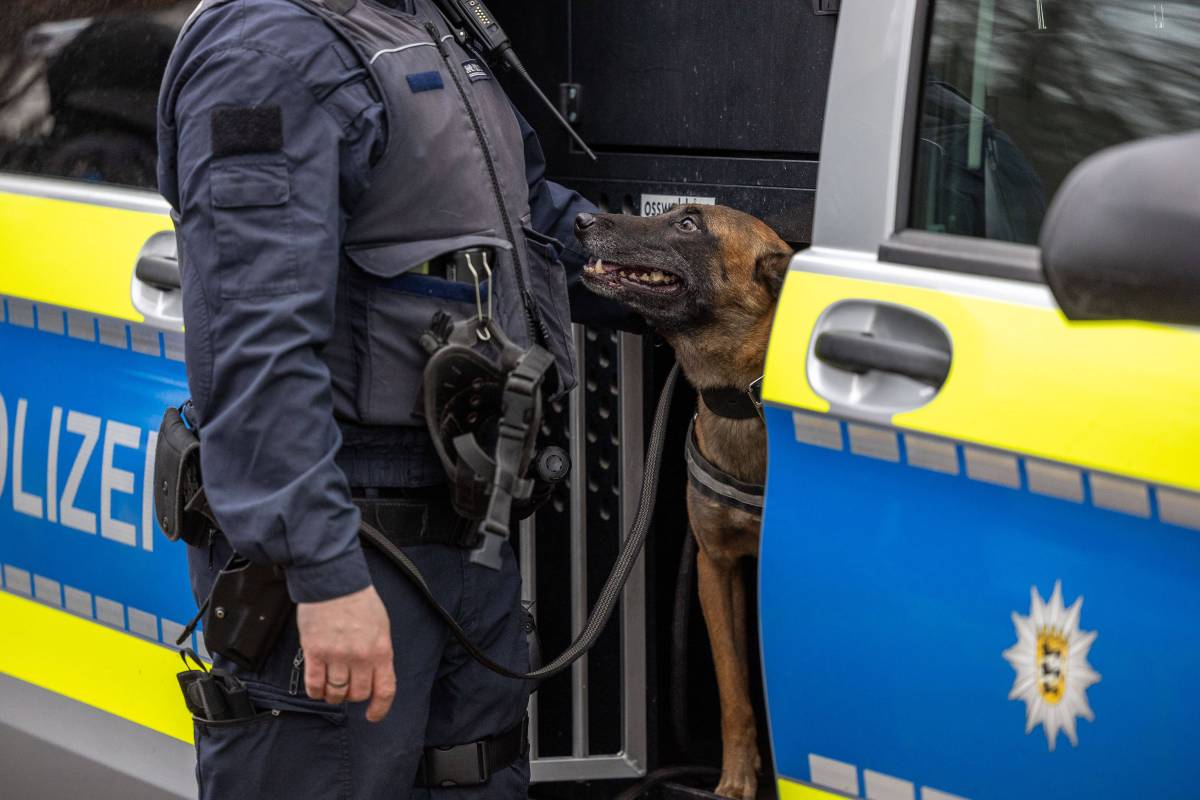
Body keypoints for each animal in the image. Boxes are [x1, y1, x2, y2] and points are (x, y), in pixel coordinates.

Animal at [576, 205, 792, 800]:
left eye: (689, 225)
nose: (581, 219)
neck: (744, 398)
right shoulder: (715, 568)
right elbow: (734, 690)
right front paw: (737, 779)